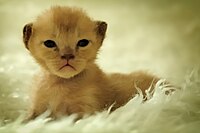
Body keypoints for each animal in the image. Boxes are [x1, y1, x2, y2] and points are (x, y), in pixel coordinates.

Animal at [22, 5, 159, 120]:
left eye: (83, 43)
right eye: (49, 43)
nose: (67, 56)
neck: (62, 83)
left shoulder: (86, 112)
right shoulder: (38, 109)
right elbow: (28, 120)